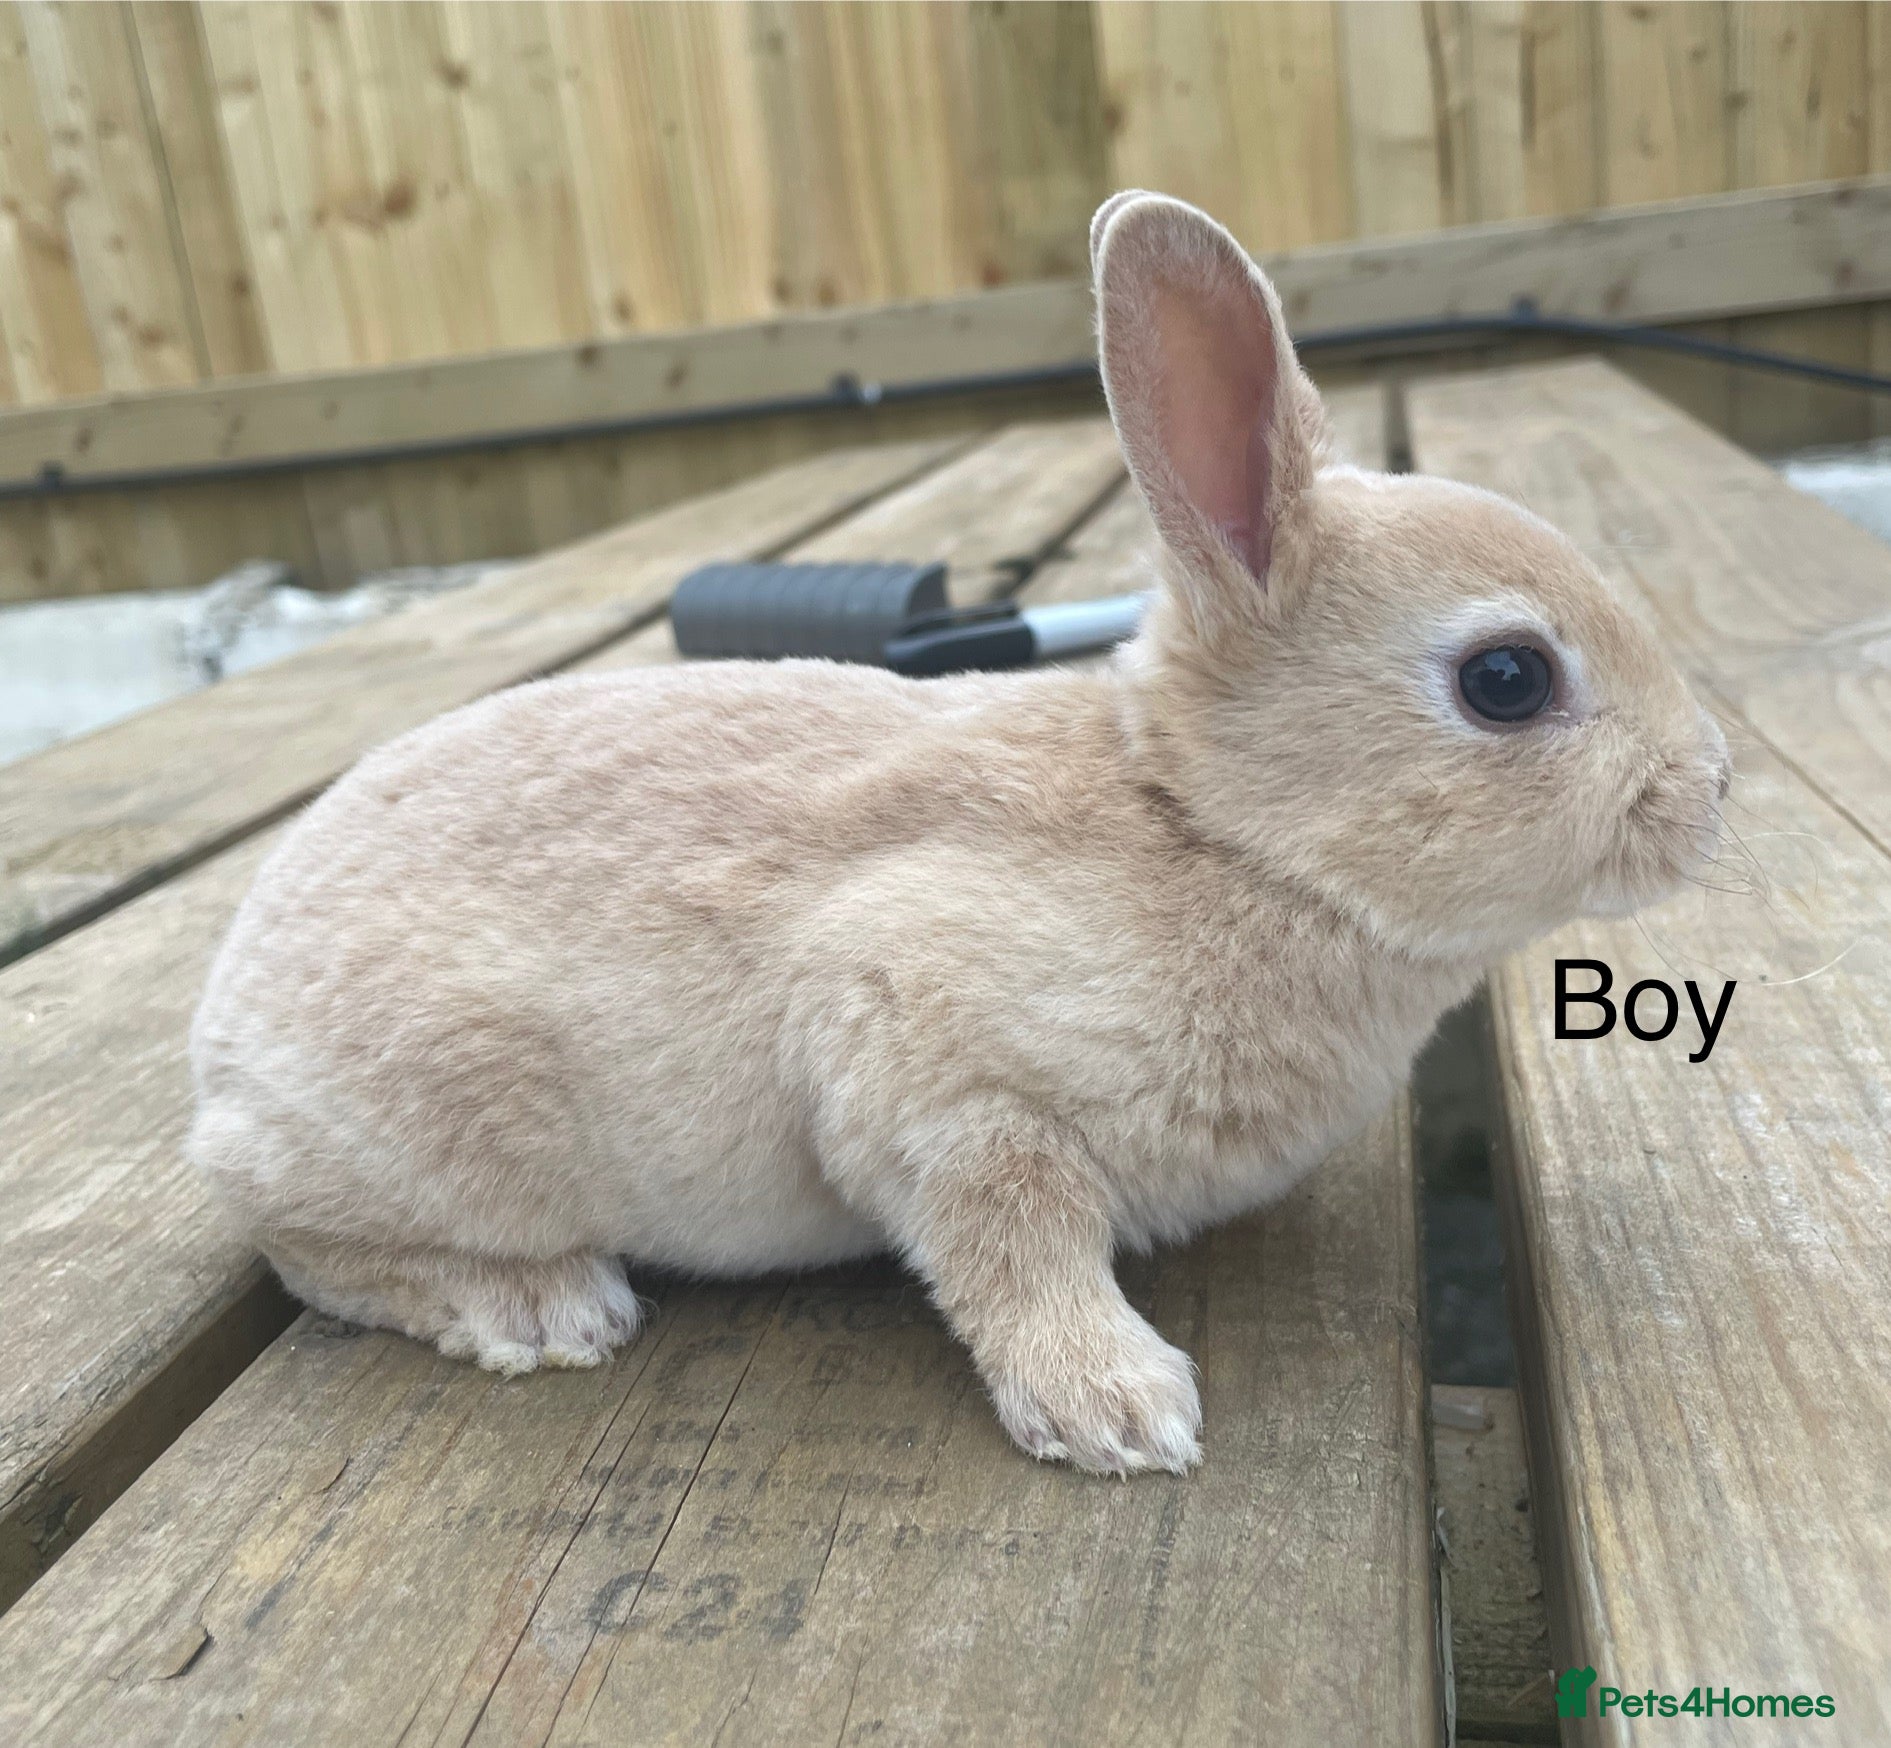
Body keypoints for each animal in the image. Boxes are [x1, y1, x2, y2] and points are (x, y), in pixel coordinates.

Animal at [188, 191, 1730, 1476]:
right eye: (1506, 678)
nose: (1709, 786)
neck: (1216, 832)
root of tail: (222, 1044)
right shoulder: (935, 1068)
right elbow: (1012, 1239)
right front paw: (1120, 1411)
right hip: (432, 1132)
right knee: (300, 1246)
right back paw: (542, 1308)